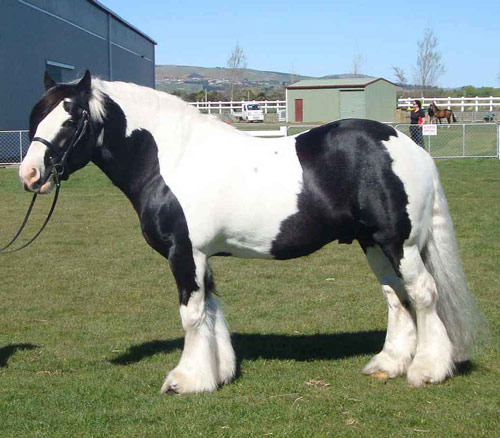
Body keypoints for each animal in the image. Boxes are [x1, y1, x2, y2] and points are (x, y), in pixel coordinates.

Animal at [19, 71, 484, 394]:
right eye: (37, 115)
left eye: (72, 118)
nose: (30, 175)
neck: (172, 158)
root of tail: (409, 148)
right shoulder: (200, 256)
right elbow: (210, 310)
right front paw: (217, 372)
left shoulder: (184, 253)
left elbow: (191, 314)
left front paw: (186, 380)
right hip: (373, 244)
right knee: (397, 297)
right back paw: (388, 364)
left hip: (398, 243)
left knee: (423, 294)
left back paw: (427, 370)